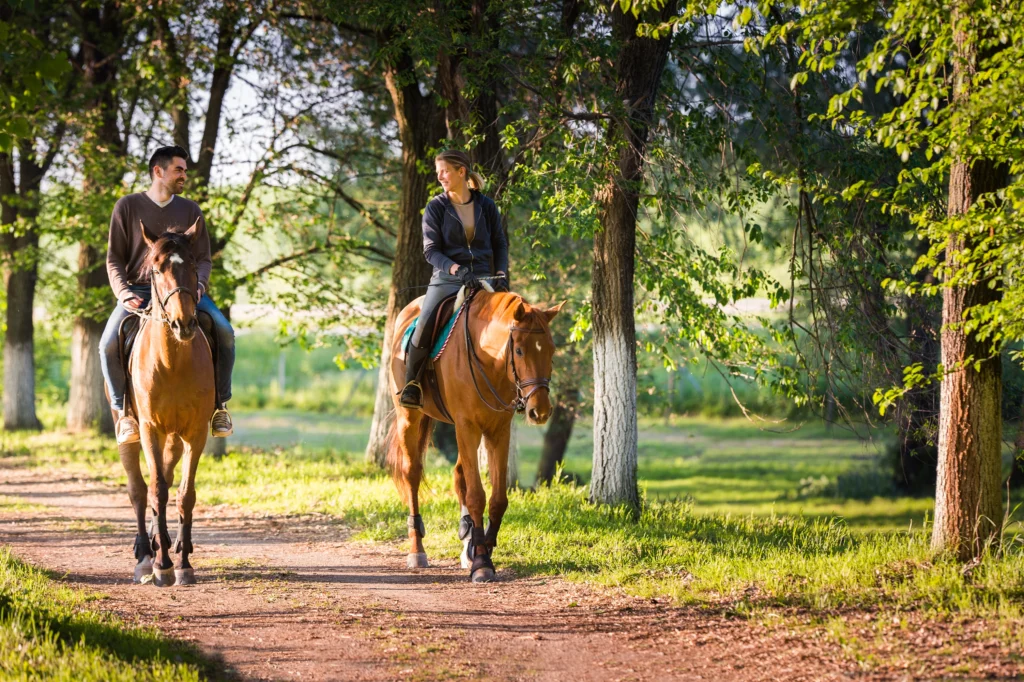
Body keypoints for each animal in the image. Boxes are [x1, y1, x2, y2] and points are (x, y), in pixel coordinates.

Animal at [113, 221, 216, 587]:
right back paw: (145, 554)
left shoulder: (195, 433)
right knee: (138, 489)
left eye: (192, 264)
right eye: (156, 270)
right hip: (130, 431)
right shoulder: (149, 430)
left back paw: (166, 542)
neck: (172, 362)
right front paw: (161, 565)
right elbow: (155, 490)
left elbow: (185, 493)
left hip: (174, 437)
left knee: (169, 478)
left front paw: (183, 563)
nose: (183, 324)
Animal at [387, 289, 562, 582]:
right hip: (409, 418)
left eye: (551, 350)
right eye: (519, 350)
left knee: (459, 476)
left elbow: (497, 499)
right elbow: (477, 496)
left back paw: (466, 542)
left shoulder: (497, 431)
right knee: (412, 474)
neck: (489, 360)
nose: (540, 411)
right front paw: (481, 562)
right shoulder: (467, 427)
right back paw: (417, 551)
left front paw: (483, 548)